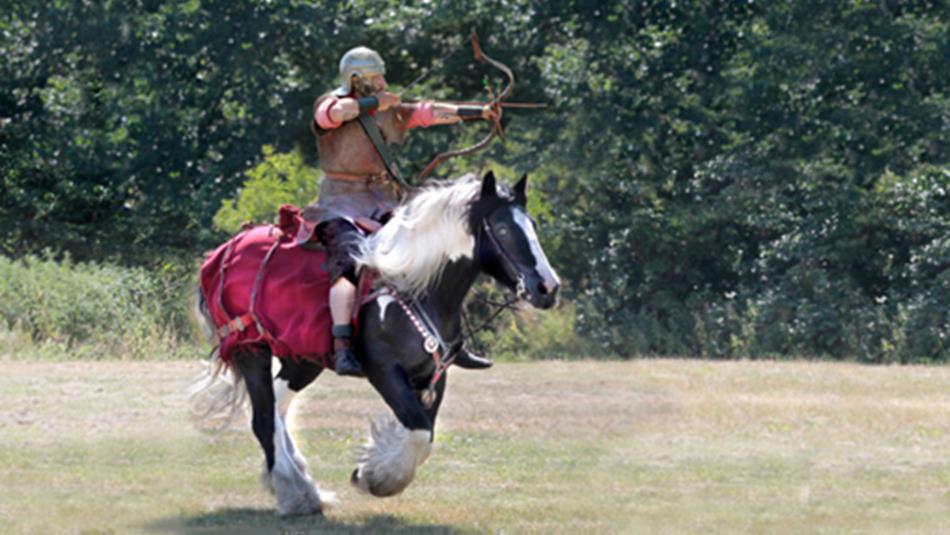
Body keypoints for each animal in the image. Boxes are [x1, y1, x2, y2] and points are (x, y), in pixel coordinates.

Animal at [190, 170, 560, 515]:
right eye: (502, 229)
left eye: (532, 225)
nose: (547, 287)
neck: (416, 286)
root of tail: (219, 255)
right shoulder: (384, 370)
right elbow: (419, 433)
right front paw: (376, 477)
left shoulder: (433, 377)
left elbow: (424, 432)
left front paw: (374, 466)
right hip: (250, 348)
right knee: (264, 418)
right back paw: (296, 494)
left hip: (303, 360)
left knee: (279, 408)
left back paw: (297, 481)